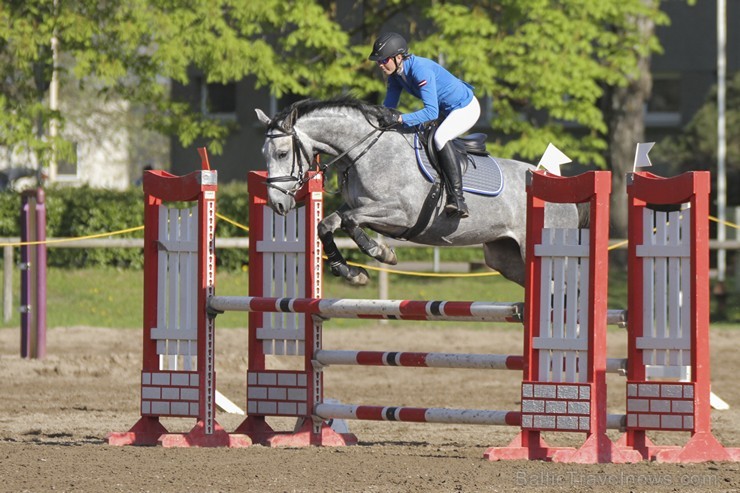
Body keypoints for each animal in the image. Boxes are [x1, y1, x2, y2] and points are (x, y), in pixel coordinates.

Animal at [258, 96, 580, 286]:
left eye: (283, 153)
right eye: (266, 154)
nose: (277, 205)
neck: (367, 151)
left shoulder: (401, 214)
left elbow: (350, 222)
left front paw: (382, 253)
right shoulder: (361, 208)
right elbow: (328, 224)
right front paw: (353, 273)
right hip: (506, 257)